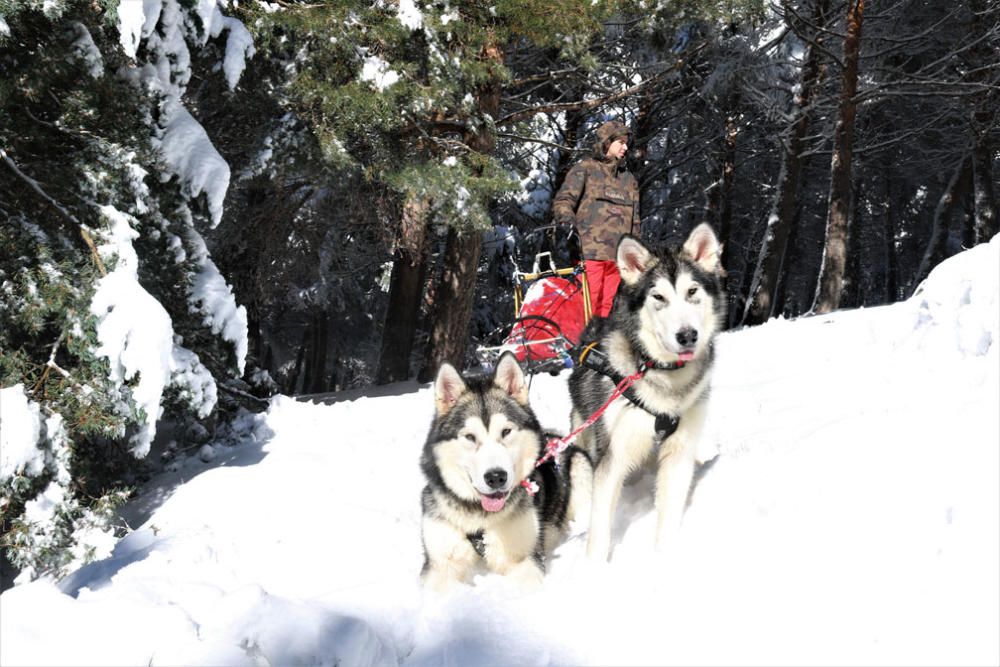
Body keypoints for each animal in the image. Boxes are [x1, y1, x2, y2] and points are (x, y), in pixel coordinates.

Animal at [422, 354, 592, 588]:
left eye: (506, 431)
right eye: (470, 437)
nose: (496, 477)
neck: (481, 519)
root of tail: (555, 437)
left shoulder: (527, 559)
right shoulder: (438, 565)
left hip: (580, 467)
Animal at [572, 224, 728, 564]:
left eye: (692, 292)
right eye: (658, 297)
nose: (687, 335)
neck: (661, 372)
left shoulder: (679, 451)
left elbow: (669, 512)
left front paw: (663, 558)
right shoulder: (612, 456)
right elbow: (600, 527)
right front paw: (592, 571)